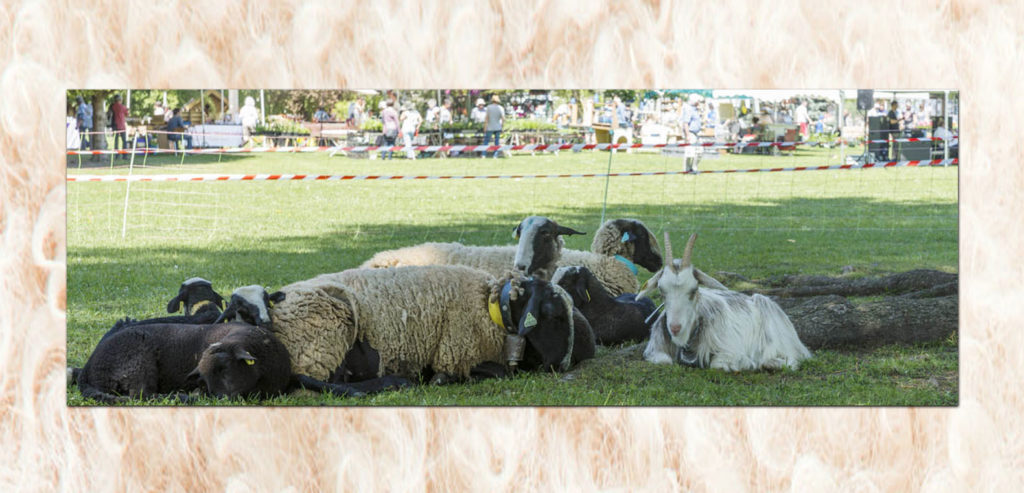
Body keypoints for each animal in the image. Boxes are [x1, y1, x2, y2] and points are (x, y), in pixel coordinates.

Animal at [268, 264, 598, 387]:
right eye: (553, 314)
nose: (562, 364)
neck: (490, 306)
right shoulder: (457, 354)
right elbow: (496, 372)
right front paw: (438, 379)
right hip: (324, 342)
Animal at [634, 232, 811, 371]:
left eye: (694, 290)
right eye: (661, 290)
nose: (675, 328)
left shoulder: (729, 348)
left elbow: (717, 364)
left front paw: (746, 363)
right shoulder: (655, 350)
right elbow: (664, 361)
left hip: (770, 318)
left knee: (790, 358)